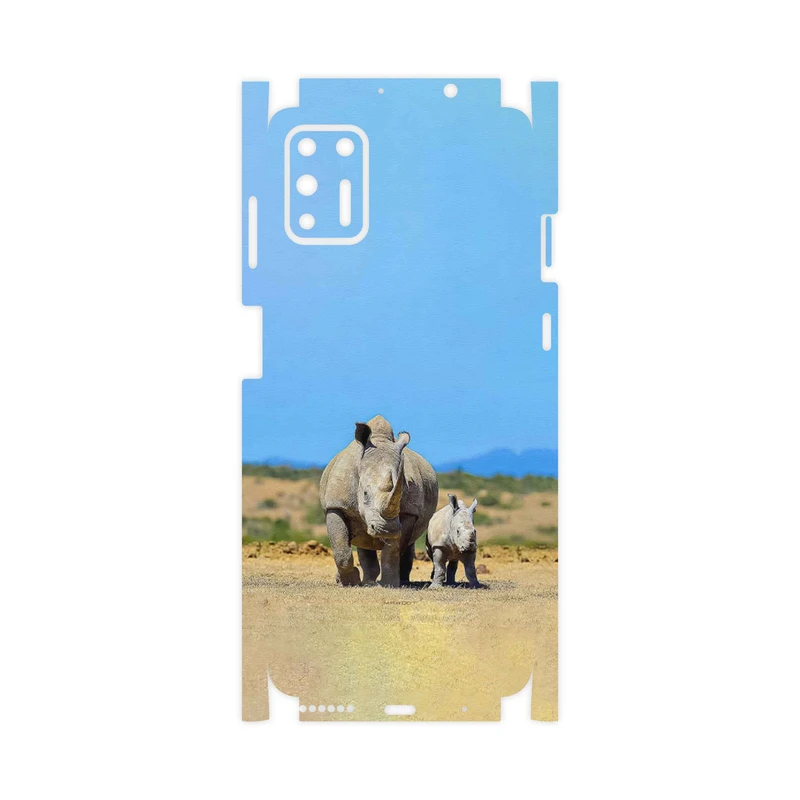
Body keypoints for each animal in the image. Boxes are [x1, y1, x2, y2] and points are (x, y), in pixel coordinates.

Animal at [319, 415, 438, 587]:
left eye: (400, 495)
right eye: (365, 494)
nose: (387, 529)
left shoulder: (409, 512)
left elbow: (393, 550)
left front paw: (390, 584)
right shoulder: (336, 505)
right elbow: (341, 548)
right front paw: (350, 582)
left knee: (407, 544)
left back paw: (400, 581)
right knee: (363, 541)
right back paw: (365, 582)